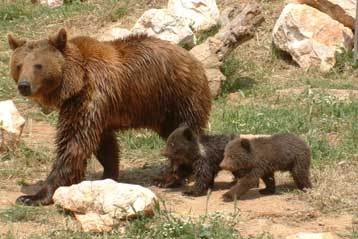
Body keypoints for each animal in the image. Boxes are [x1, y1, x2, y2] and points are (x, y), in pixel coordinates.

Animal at [8, 28, 211, 205]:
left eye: (38, 66)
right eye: (19, 65)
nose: (24, 85)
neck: (75, 82)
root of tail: (193, 58)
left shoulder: (90, 96)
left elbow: (73, 143)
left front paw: (33, 196)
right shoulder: (98, 109)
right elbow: (104, 144)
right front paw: (108, 175)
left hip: (177, 97)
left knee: (184, 135)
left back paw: (168, 177)